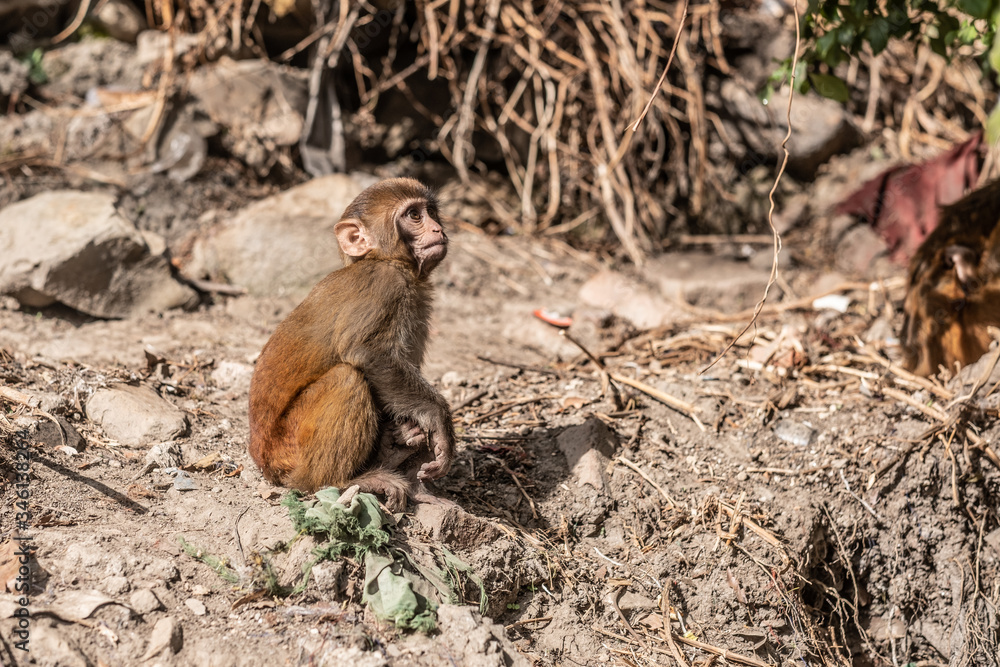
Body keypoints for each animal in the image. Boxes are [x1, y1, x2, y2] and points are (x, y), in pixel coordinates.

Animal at [248, 178, 455, 511]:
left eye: (431, 212)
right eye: (414, 216)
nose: (437, 229)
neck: (383, 259)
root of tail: (264, 462)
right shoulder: (383, 285)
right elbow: (367, 353)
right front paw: (439, 419)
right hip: (290, 449)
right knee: (347, 378)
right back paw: (343, 480)